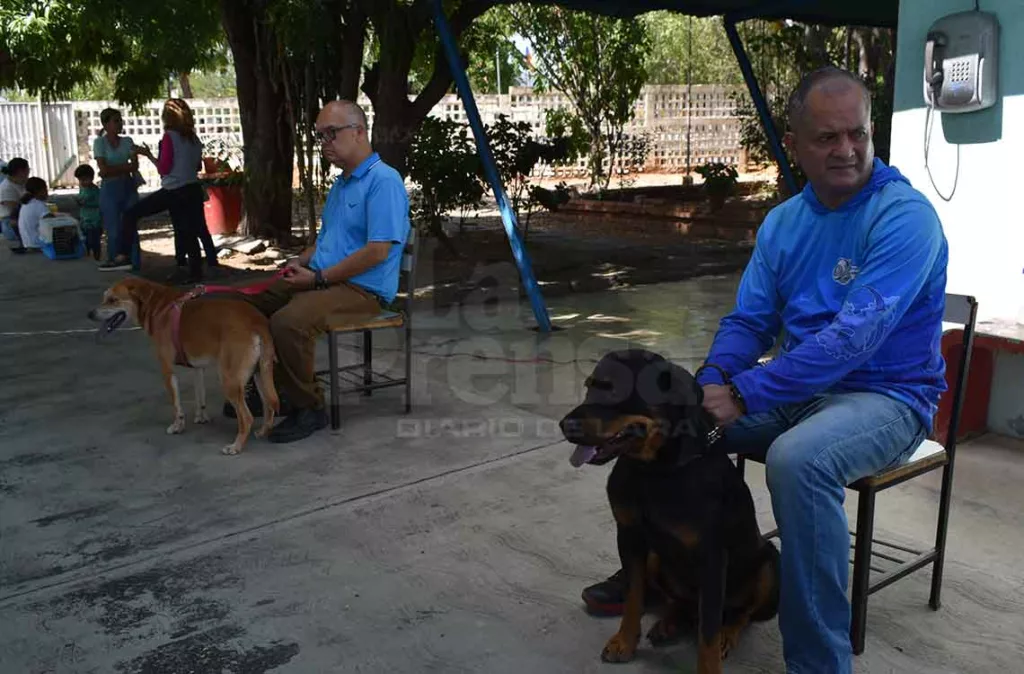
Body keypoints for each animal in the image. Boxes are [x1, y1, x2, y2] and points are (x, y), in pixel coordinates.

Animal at [88, 276, 278, 454]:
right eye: (104, 297)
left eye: (113, 300)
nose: (90, 314)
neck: (158, 307)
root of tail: (256, 322)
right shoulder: (197, 368)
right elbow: (200, 395)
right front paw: (201, 417)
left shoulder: (167, 369)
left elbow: (176, 404)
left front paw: (177, 426)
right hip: (260, 373)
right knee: (269, 405)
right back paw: (262, 431)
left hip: (229, 379)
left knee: (247, 417)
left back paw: (236, 446)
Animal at [561, 348, 774, 667]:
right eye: (589, 386)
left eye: (613, 390)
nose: (564, 425)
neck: (655, 470)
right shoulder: (630, 536)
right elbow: (634, 596)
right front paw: (624, 642)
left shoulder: (712, 558)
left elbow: (708, 635)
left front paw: (711, 659)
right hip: (656, 557)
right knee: (680, 602)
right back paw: (670, 623)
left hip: (770, 562)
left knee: (741, 613)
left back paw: (727, 632)